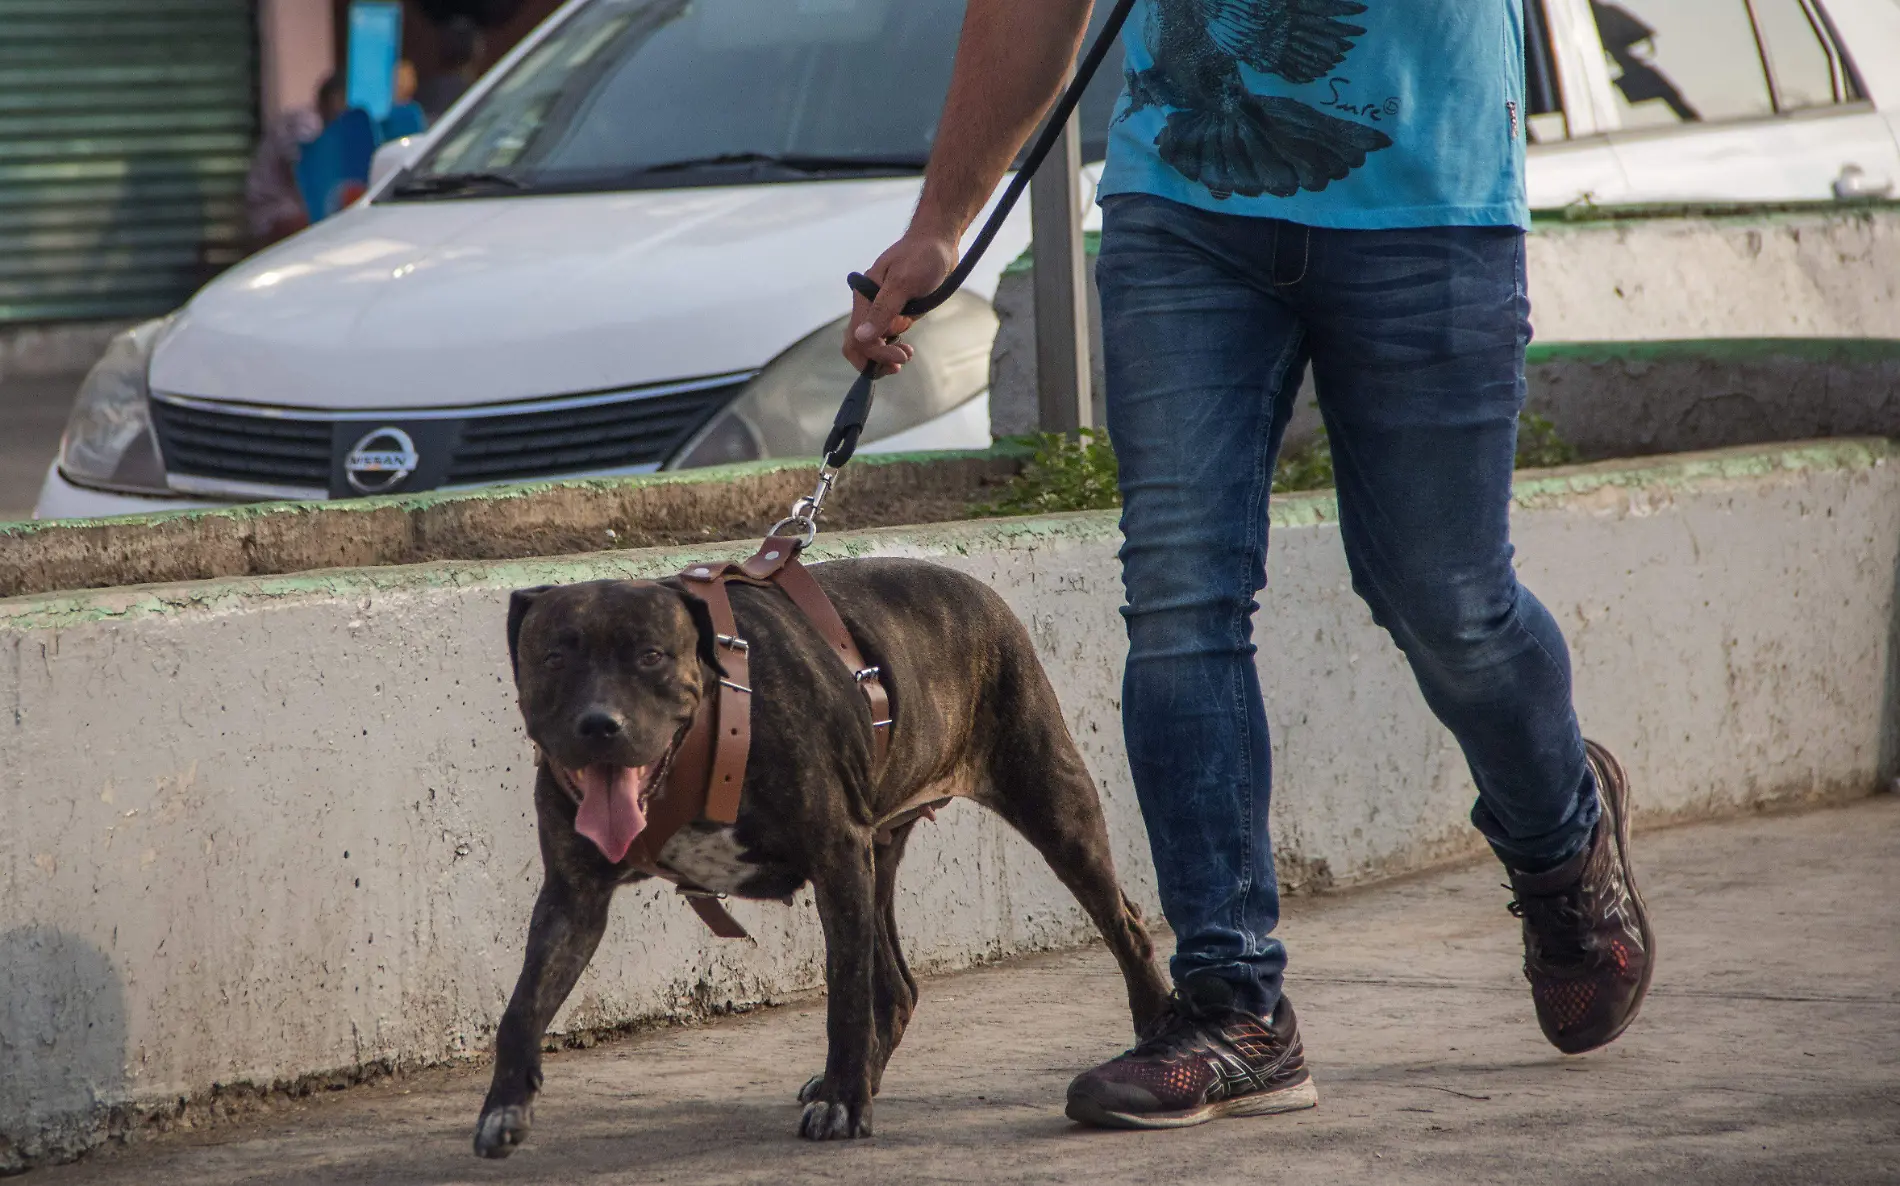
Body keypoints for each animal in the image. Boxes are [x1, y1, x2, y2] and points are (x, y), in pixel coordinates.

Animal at [478, 558, 1170, 1155]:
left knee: (1125, 926)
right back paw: (867, 1077)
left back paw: (1153, 1029)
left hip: (1052, 807)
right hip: (877, 858)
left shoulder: (837, 857)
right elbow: (522, 1006)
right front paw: (504, 1107)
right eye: (553, 657)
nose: (600, 724)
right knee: (895, 986)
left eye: (650, 655)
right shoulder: (573, 897)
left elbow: (845, 997)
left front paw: (842, 1103)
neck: (702, 736)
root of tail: (976, 588)